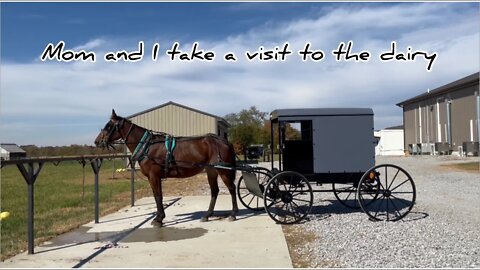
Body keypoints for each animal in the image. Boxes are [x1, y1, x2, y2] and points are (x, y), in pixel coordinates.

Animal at [94, 109, 238, 226]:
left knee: (231, 188)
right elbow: (157, 195)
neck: (147, 146)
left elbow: (158, 196)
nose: (97, 141)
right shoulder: (154, 177)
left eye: (109, 126)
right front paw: (159, 217)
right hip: (211, 170)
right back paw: (207, 215)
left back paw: (233, 214)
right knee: (215, 191)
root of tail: (224, 141)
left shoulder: (154, 176)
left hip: (223, 171)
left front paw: (159, 219)